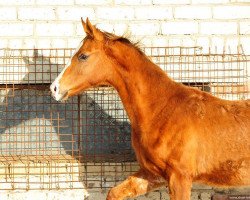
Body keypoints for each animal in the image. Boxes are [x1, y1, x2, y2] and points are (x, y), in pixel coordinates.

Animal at [50, 18, 250, 199]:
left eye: (83, 56)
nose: (54, 88)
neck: (162, 110)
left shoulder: (180, 178)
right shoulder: (153, 174)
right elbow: (114, 192)